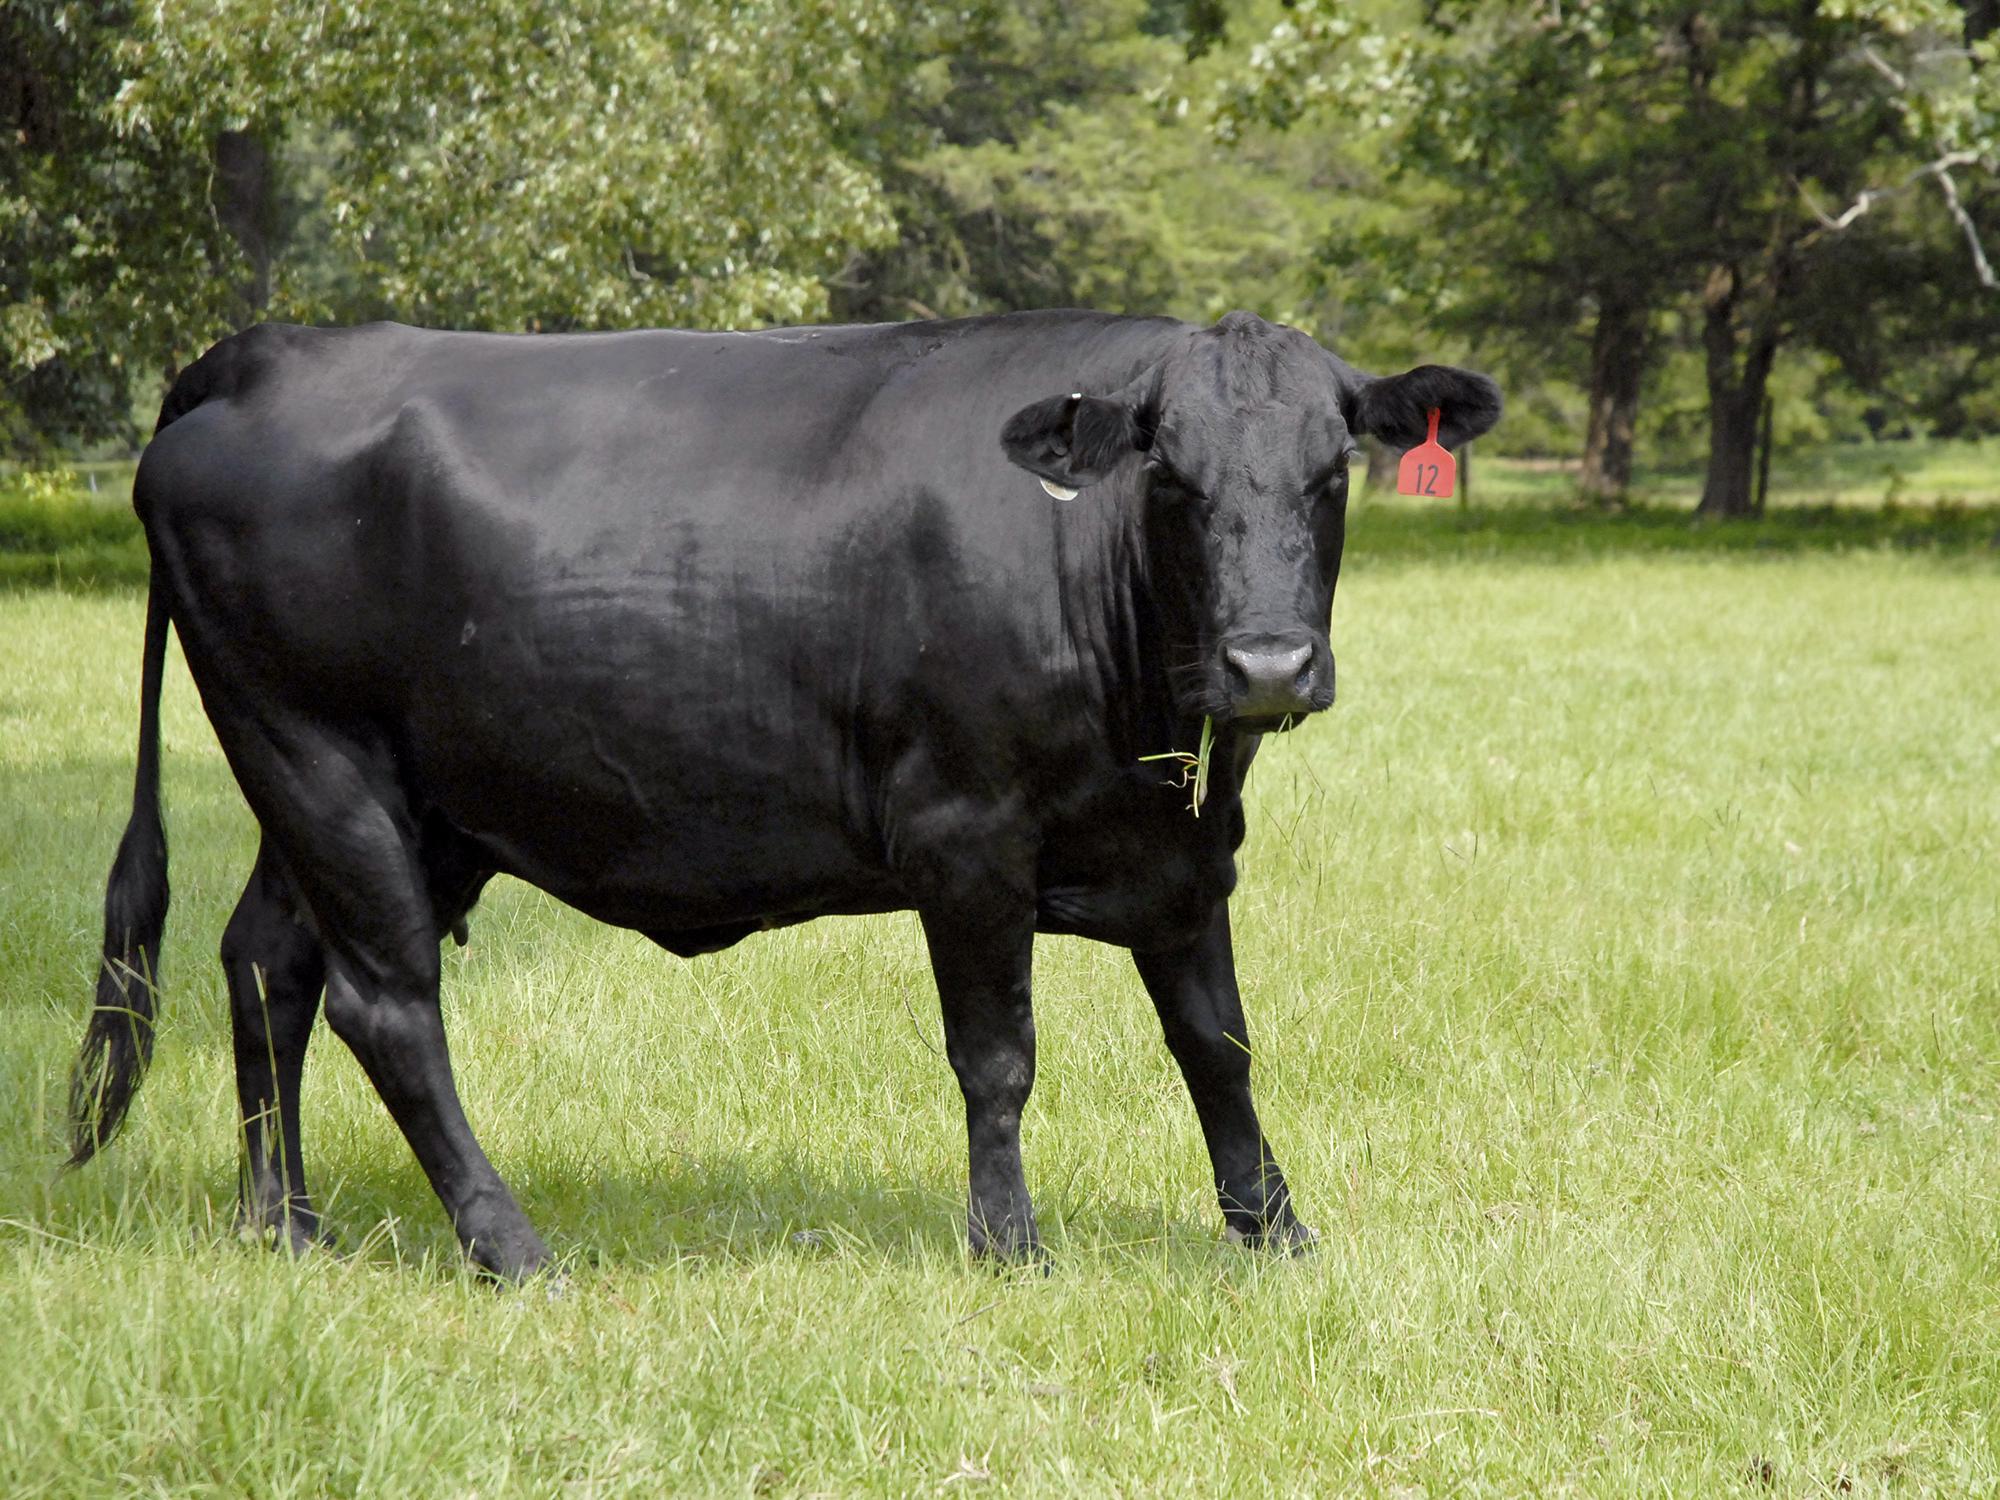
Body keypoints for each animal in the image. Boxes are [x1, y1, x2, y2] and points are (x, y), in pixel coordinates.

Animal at [66, 308, 1504, 1280]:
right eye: (1171, 476)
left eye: (1329, 471)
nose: (1268, 663)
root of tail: (268, 352)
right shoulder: (963, 836)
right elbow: (998, 1056)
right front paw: (1009, 1246)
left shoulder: (1185, 852)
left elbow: (1219, 1044)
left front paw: (1274, 1229)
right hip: (318, 759)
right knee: (385, 1005)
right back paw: (506, 1245)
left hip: (373, 798)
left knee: (266, 963)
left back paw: (283, 1225)